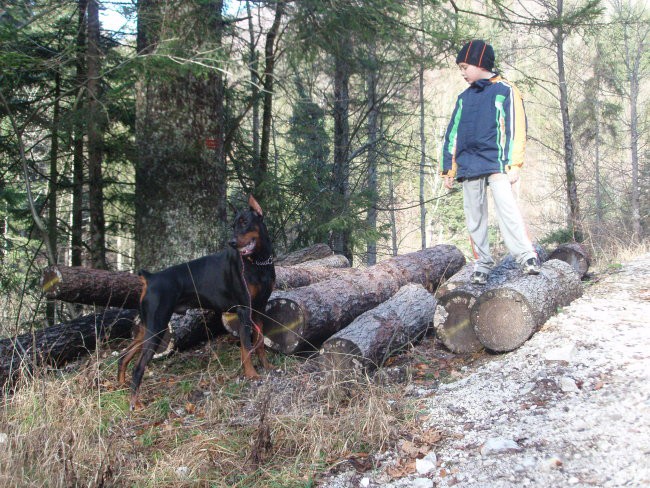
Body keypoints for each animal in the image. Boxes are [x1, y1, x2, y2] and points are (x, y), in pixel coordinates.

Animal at [116, 196, 274, 410]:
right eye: (233, 225)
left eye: (244, 222)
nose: (232, 242)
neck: (258, 262)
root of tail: (150, 277)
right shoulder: (244, 309)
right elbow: (246, 347)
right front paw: (252, 375)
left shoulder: (259, 308)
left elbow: (259, 343)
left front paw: (266, 367)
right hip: (157, 326)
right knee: (138, 366)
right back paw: (135, 403)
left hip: (146, 326)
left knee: (124, 356)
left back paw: (121, 387)